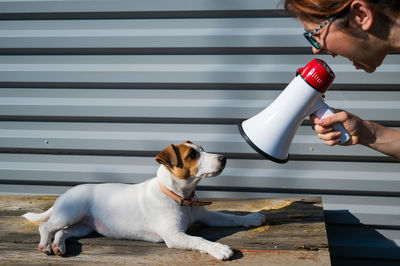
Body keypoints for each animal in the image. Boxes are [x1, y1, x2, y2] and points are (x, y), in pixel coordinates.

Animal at [21, 141, 266, 260]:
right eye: (192, 155)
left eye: (203, 150)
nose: (224, 158)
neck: (179, 196)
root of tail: (64, 194)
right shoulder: (174, 236)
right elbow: (199, 240)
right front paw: (220, 249)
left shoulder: (206, 215)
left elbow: (229, 217)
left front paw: (253, 218)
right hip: (72, 212)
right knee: (46, 226)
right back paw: (46, 245)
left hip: (83, 226)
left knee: (62, 232)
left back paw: (59, 245)